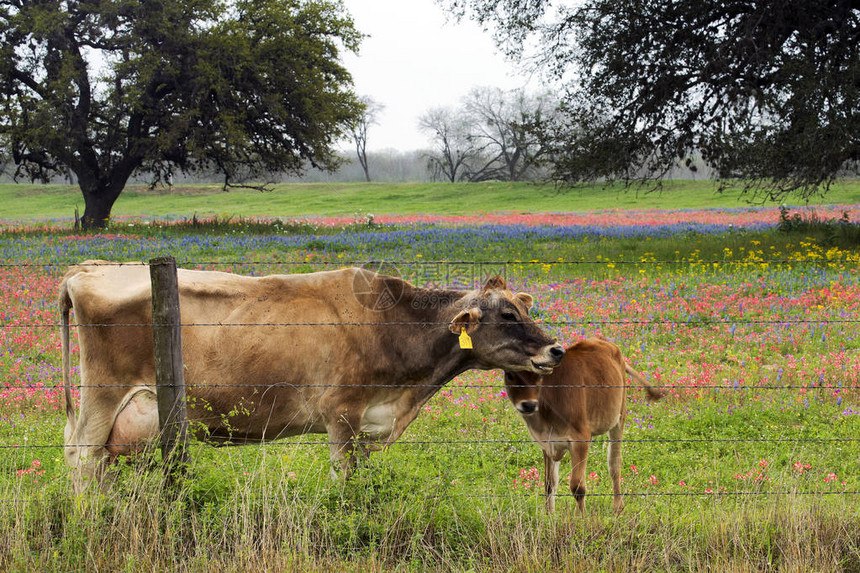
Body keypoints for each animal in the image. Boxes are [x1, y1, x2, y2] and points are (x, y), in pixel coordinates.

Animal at [60, 262, 564, 490]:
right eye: (507, 316)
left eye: (524, 308)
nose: (556, 349)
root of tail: (87, 270)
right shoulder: (341, 413)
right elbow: (345, 480)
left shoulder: (368, 424)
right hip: (102, 397)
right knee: (81, 459)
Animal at [500, 336, 660, 510]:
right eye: (510, 374)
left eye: (538, 375)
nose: (528, 404)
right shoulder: (547, 443)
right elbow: (549, 484)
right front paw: (549, 514)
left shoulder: (580, 438)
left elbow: (578, 487)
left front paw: (581, 517)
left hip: (619, 417)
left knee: (614, 464)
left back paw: (618, 506)